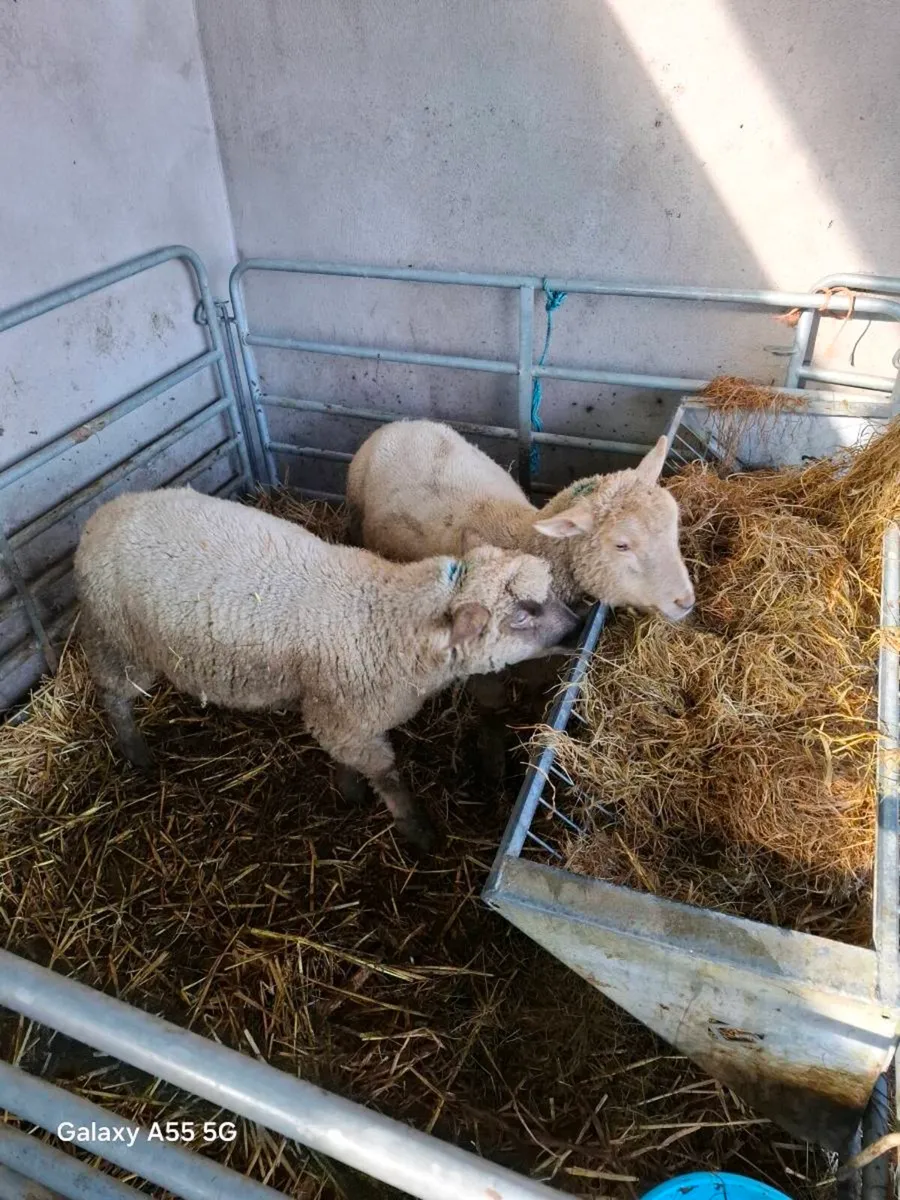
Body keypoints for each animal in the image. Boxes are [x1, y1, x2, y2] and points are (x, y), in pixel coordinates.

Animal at [73, 487, 579, 850]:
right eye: (524, 613)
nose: (577, 628)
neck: (387, 615)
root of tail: (101, 515)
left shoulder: (340, 714)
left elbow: (346, 759)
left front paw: (348, 790)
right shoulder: (346, 717)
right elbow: (387, 776)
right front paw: (417, 831)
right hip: (120, 638)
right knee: (113, 695)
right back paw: (136, 754)